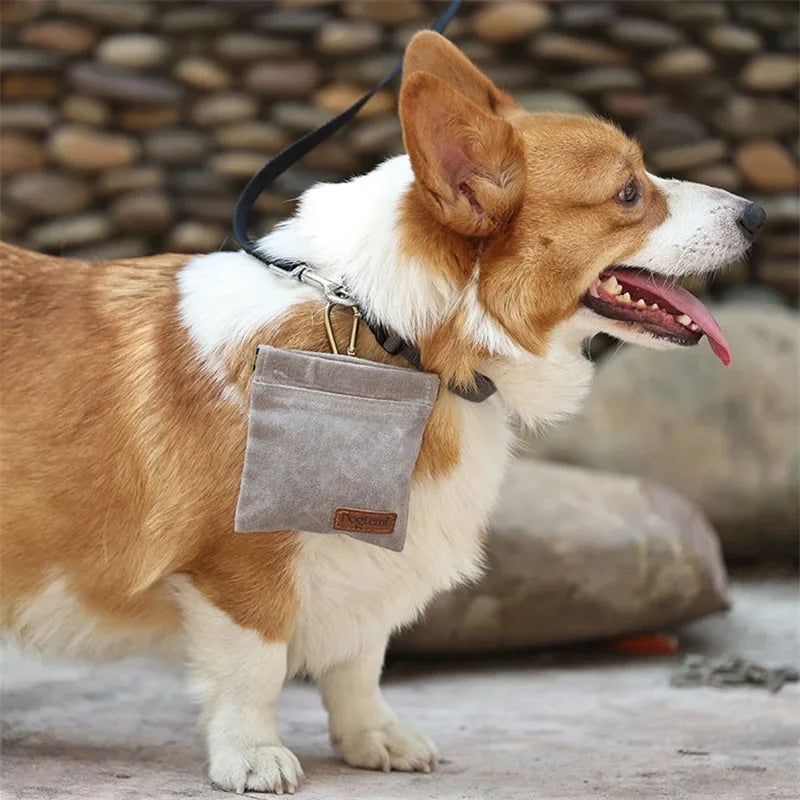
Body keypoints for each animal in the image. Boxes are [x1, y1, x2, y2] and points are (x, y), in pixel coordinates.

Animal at [0, 29, 764, 792]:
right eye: (629, 193)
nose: (756, 215)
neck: (392, 331)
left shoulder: (368, 554)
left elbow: (360, 663)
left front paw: (373, 738)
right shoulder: (239, 567)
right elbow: (254, 671)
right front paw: (251, 755)